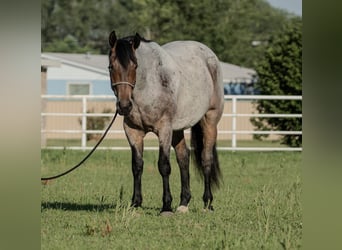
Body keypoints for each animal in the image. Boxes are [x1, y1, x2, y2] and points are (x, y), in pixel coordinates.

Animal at [107, 30, 224, 215]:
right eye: (111, 67)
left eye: (135, 66)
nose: (124, 106)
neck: (148, 85)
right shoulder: (133, 132)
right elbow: (137, 166)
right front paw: (135, 204)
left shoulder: (164, 129)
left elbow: (164, 165)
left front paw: (166, 206)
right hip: (177, 129)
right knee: (183, 158)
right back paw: (183, 203)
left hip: (209, 121)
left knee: (206, 159)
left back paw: (207, 202)